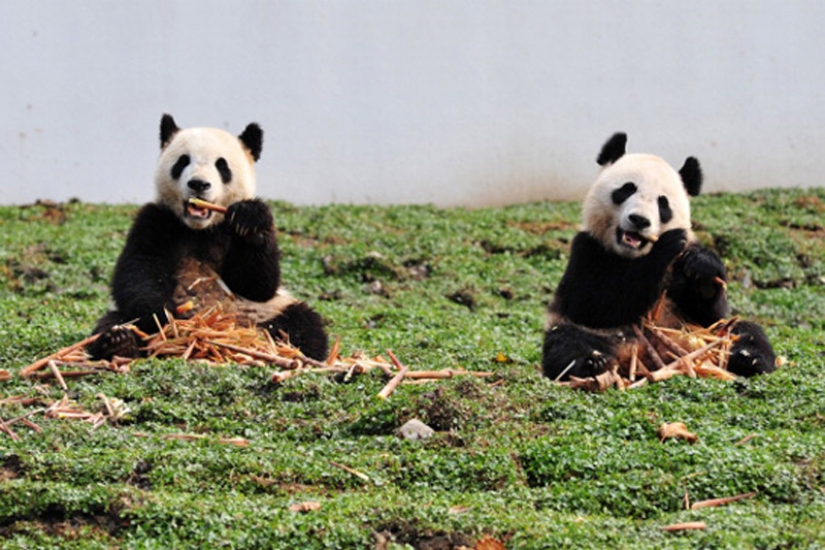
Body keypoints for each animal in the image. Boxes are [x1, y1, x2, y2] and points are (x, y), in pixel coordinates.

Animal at [85, 114, 326, 362]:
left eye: (222, 165)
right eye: (183, 161)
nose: (198, 184)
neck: (200, 230)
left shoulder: (229, 232)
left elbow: (257, 285)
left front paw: (250, 220)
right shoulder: (157, 220)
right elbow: (139, 271)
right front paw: (164, 318)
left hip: (268, 310)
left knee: (304, 324)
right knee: (113, 321)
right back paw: (119, 342)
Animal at [544, 134, 776, 384]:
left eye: (662, 203)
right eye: (627, 189)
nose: (639, 220)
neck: (633, 255)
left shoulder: (687, 275)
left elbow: (711, 312)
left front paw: (702, 266)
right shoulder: (588, 249)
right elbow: (592, 304)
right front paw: (667, 245)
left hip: (701, 333)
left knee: (745, 330)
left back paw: (750, 359)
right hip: (597, 335)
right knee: (566, 339)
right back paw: (592, 363)